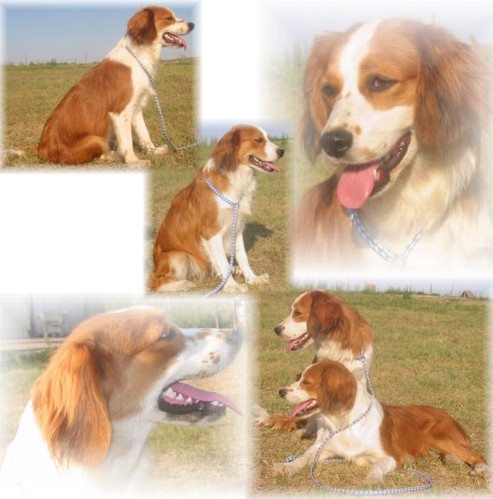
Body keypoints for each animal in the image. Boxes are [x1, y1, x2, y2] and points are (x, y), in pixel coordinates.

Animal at [272, 360, 488, 484]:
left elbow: (376, 467)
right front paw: (287, 467)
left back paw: (481, 471)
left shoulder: (391, 457)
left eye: (307, 382)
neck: (345, 423)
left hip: (437, 437)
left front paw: (372, 479)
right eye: (298, 377)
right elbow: (304, 457)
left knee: (477, 455)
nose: (281, 391)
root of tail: (450, 416)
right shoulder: (323, 447)